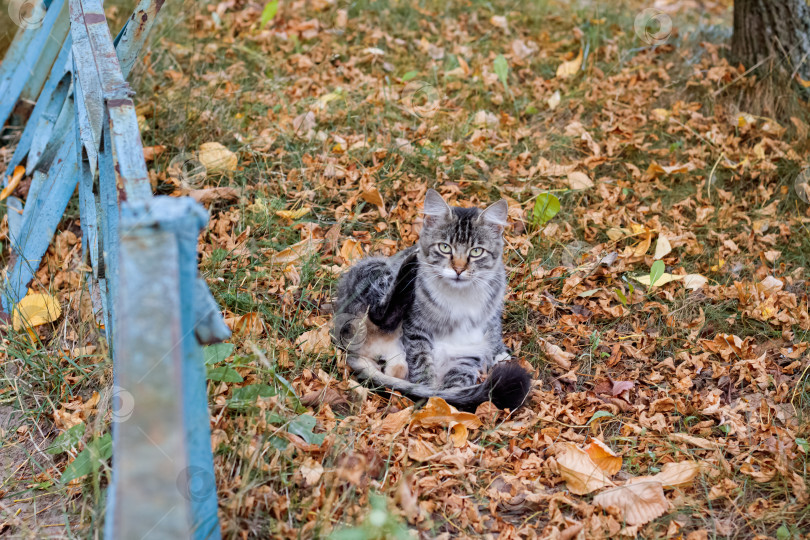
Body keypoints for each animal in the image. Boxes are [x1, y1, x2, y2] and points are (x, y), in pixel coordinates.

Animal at [330, 188, 532, 412]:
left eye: (476, 251)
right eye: (445, 247)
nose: (458, 269)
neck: (459, 298)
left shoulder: (468, 351)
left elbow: (456, 383)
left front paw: (446, 405)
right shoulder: (416, 329)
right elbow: (422, 366)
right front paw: (432, 399)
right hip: (375, 270)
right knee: (380, 314)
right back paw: (408, 271)